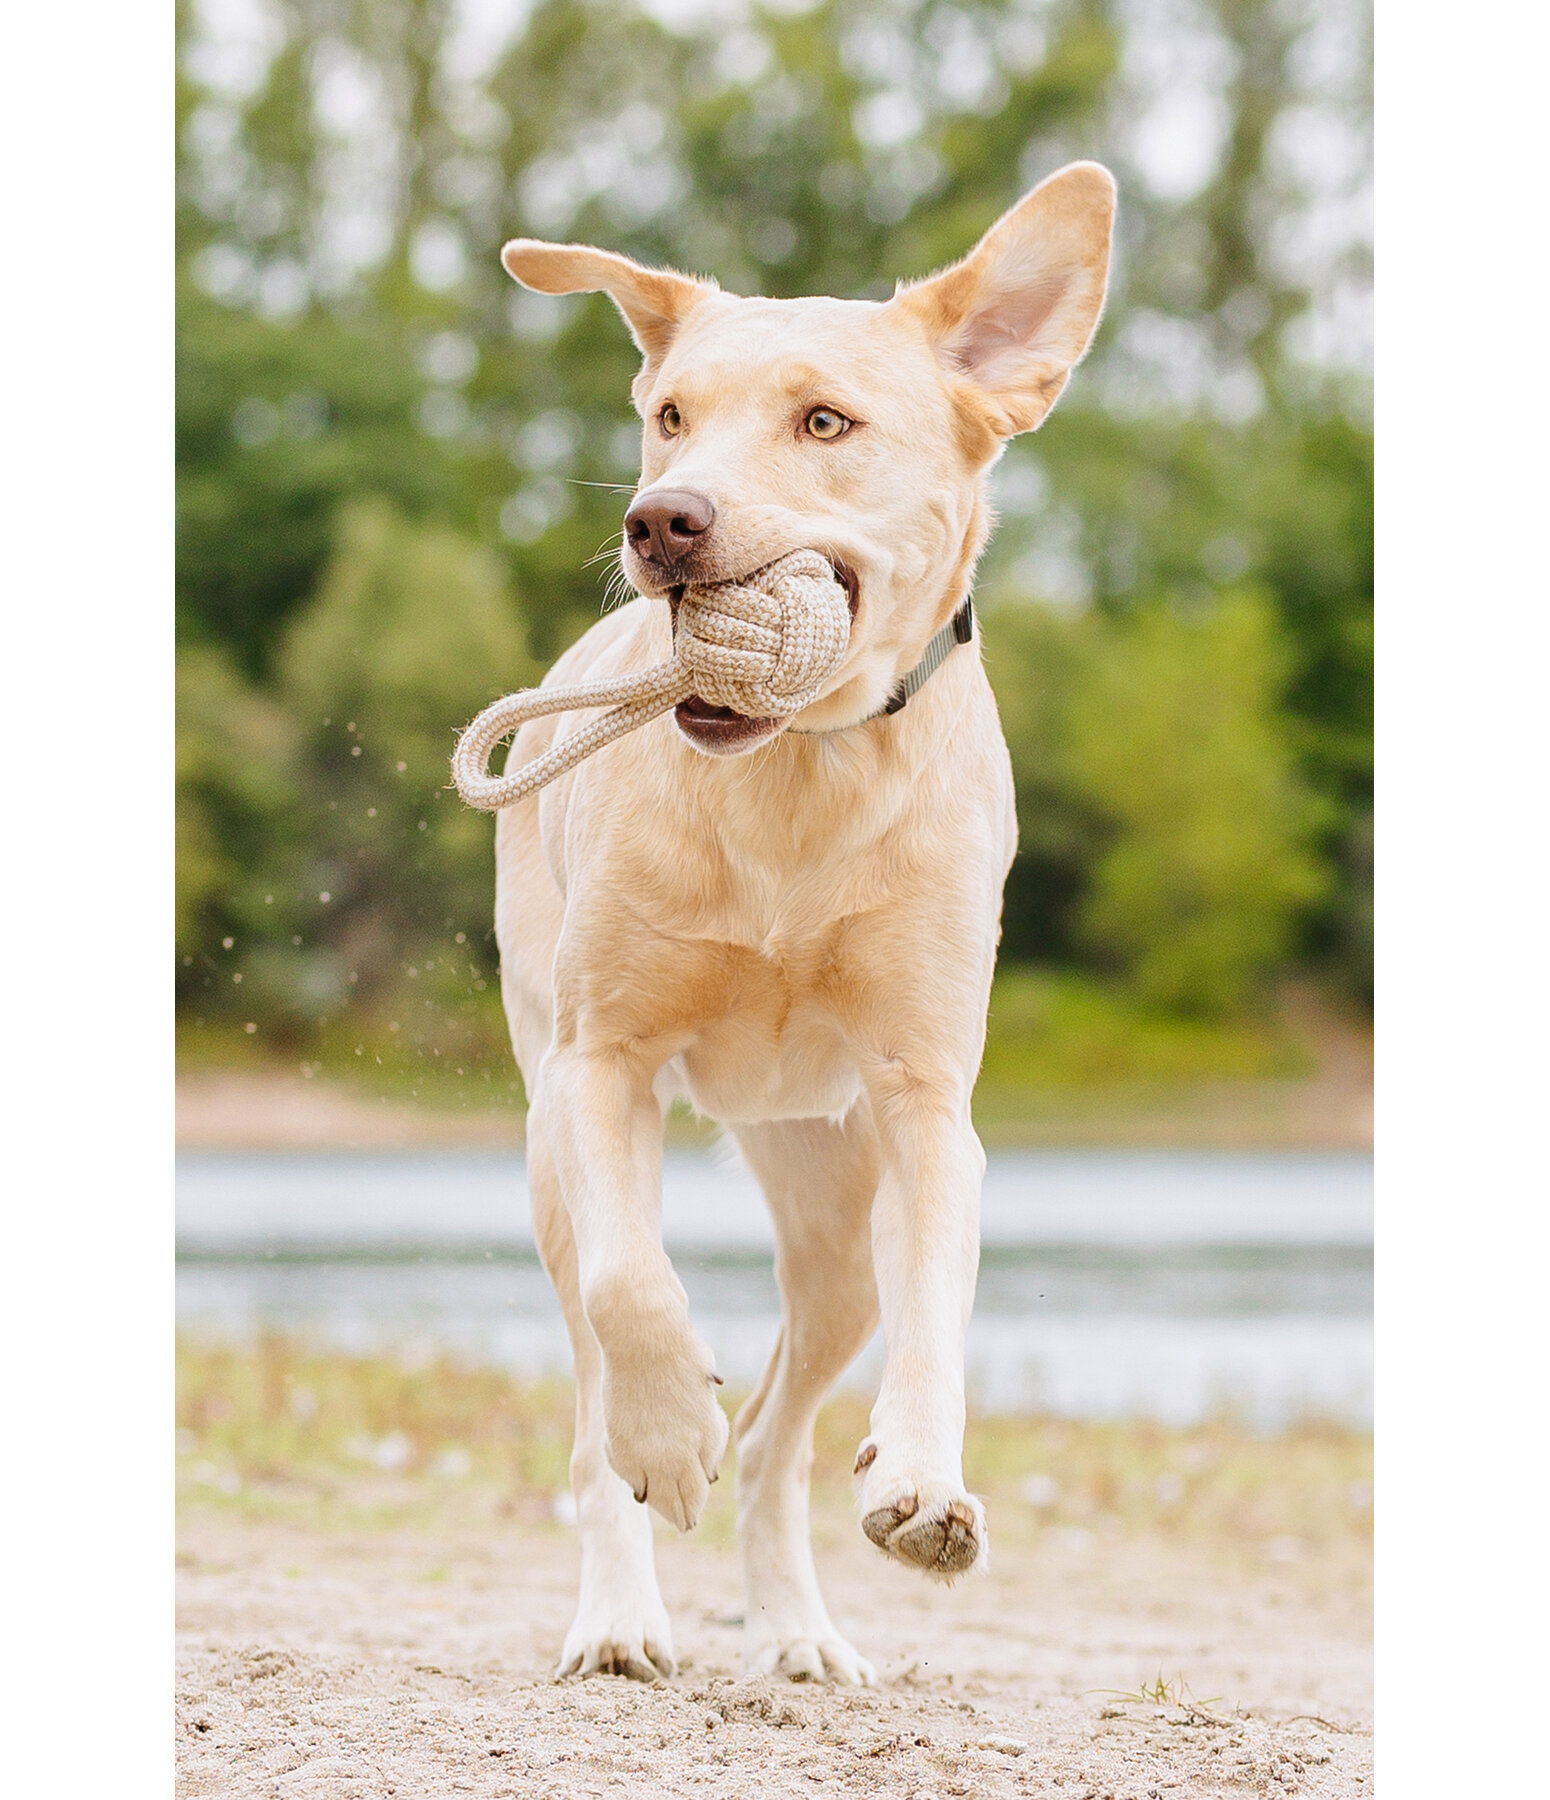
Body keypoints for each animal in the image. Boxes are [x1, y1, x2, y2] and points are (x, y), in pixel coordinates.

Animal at [489, 165, 1108, 1684]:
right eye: (668, 416)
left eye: (823, 421)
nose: (661, 521)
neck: (790, 776)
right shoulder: (597, 1068)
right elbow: (635, 1292)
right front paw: (668, 1429)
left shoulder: (928, 1102)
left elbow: (939, 1303)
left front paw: (925, 1485)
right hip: (549, 1160)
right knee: (593, 1408)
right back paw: (621, 1612)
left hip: (833, 1224)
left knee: (781, 1435)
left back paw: (797, 1630)